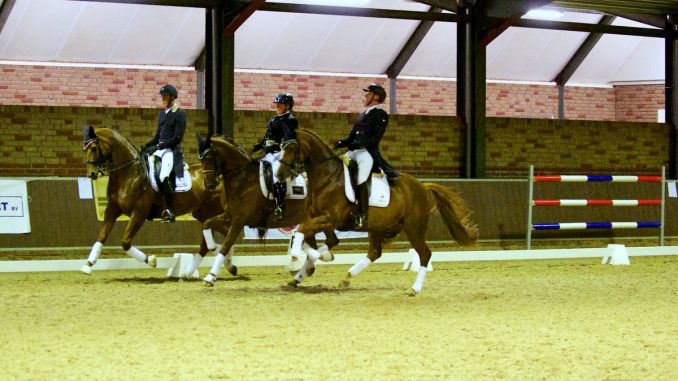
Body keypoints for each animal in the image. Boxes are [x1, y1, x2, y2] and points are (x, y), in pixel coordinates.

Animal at [81, 126, 230, 274]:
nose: (91, 174)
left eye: (93, 148)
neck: (129, 174)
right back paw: (221, 265)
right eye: (84, 149)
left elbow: (125, 242)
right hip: (202, 214)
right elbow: (101, 236)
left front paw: (151, 260)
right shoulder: (112, 209)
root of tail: (218, 177)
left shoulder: (139, 213)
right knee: (214, 237)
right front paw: (88, 265)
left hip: (212, 212)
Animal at [197, 134, 338, 284]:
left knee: (331, 240)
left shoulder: (238, 221)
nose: (210, 185)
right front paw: (213, 247)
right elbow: (207, 223)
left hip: (324, 217)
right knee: (320, 242)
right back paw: (308, 267)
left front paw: (211, 276)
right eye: (200, 159)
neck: (242, 179)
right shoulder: (229, 216)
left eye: (208, 157)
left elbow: (225, 246)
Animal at [278, 127, 480, 294]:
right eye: (280, 147)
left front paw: (297, 260)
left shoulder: (329, 218)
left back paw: (414, 289)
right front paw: (305, 268)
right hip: (377, 227)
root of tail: (422, 187)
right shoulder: (322, 220)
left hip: (414, 227)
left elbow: (301, 232)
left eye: (291, 148)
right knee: (375, 252)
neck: (328, 178)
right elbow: (314, 238)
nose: (280, 175)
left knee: (424, 254)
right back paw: (346, 278)